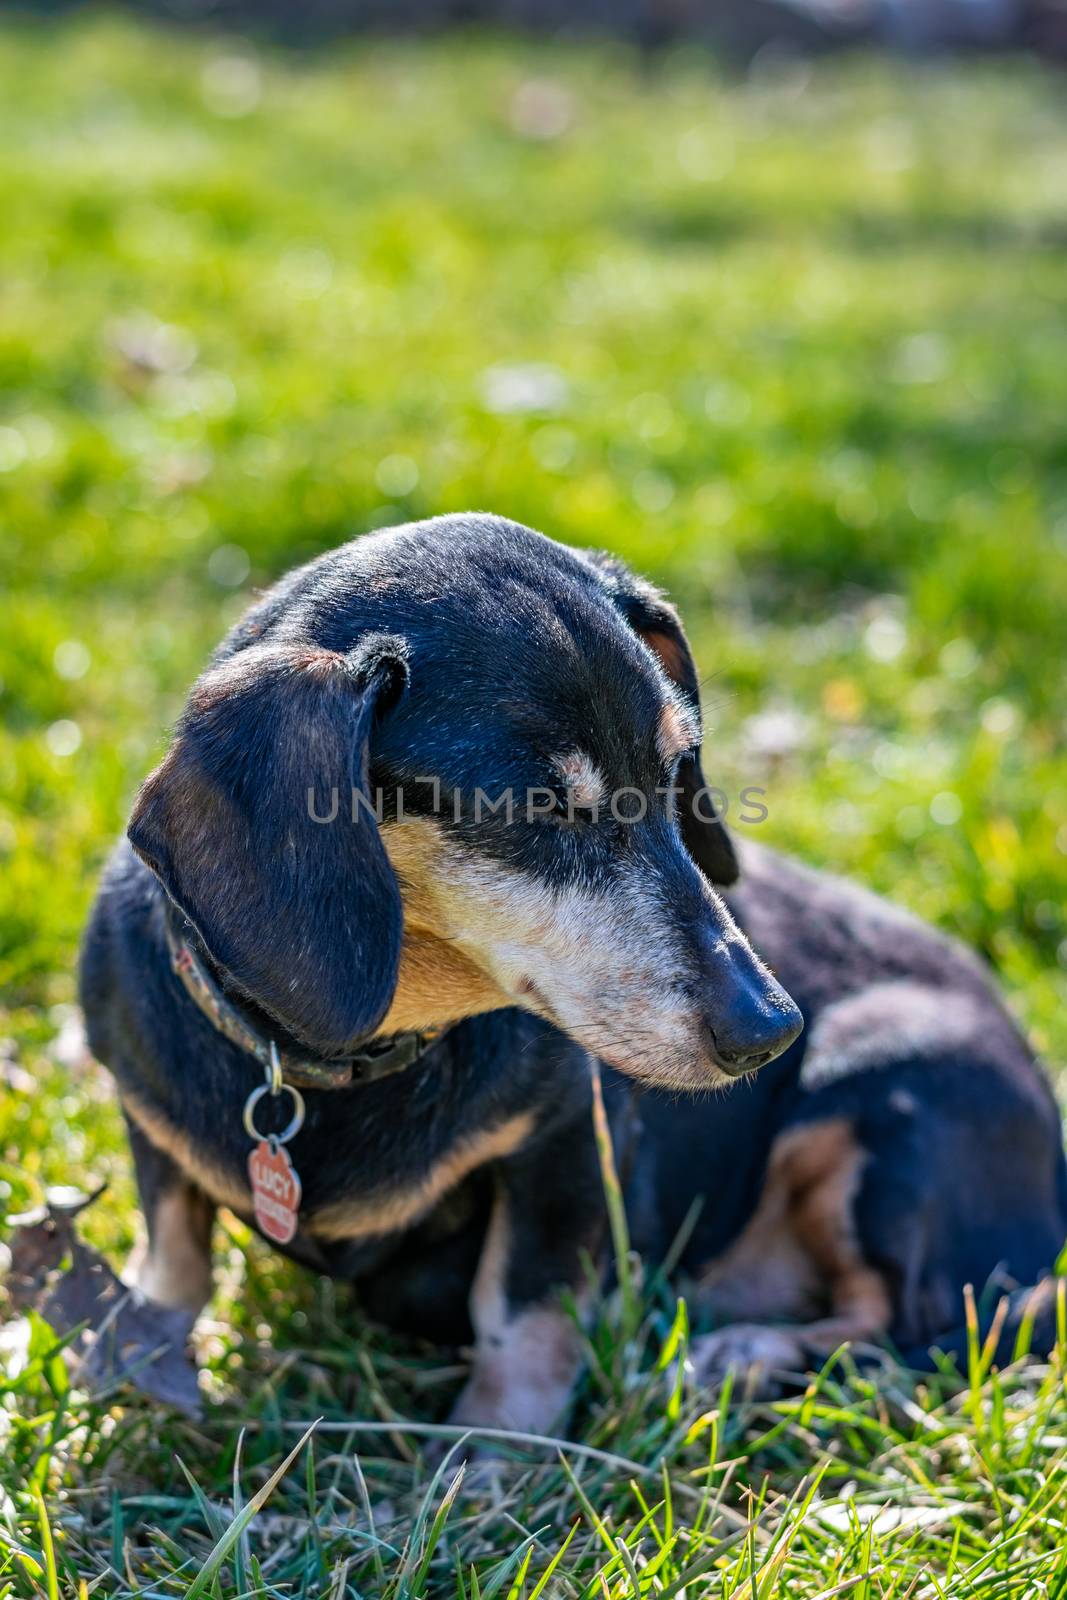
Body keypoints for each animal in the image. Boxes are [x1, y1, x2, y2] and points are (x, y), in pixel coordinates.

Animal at [83, 518, 1067, 1433]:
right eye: (538, 809)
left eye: (677, 769)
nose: (771, 1031)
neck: (351, 1061)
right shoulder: (148, 1122)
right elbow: (175, 1256)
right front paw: (133, 1355)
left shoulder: (560, 1155)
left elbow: (523, 1313)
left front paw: (489, 1453)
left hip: (885, 1094)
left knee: (916, 1328)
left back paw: (740, 1358)